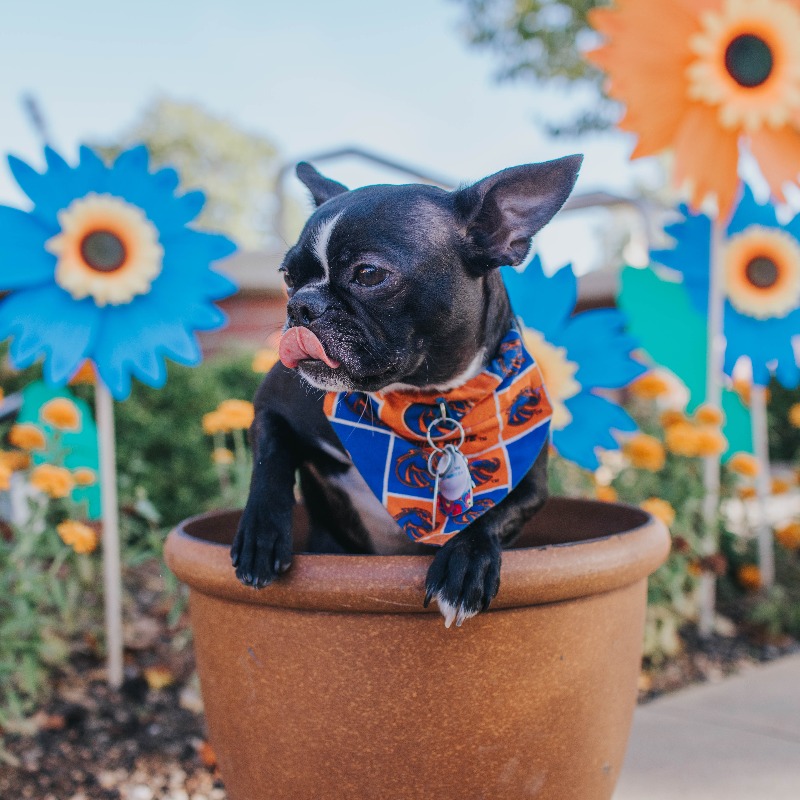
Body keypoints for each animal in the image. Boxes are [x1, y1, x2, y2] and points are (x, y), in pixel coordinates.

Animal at [230, 156, 580, 628]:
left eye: (368, 274)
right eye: (287, 276)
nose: (300, 304)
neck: (426, 398)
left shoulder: (529, 484)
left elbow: (489, 513)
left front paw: (465, 564)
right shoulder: (273, 403)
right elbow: (271, 458)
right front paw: (260, 535)